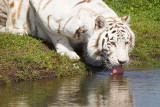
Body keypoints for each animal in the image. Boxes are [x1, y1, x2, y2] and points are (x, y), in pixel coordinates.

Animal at [0, 0, 135, 72]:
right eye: (112, 43)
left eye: (127, 43)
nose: (123, 61)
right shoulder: (43, 13)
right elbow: (58, 36)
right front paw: (69, 53)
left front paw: (91, 59)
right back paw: (17, 31)